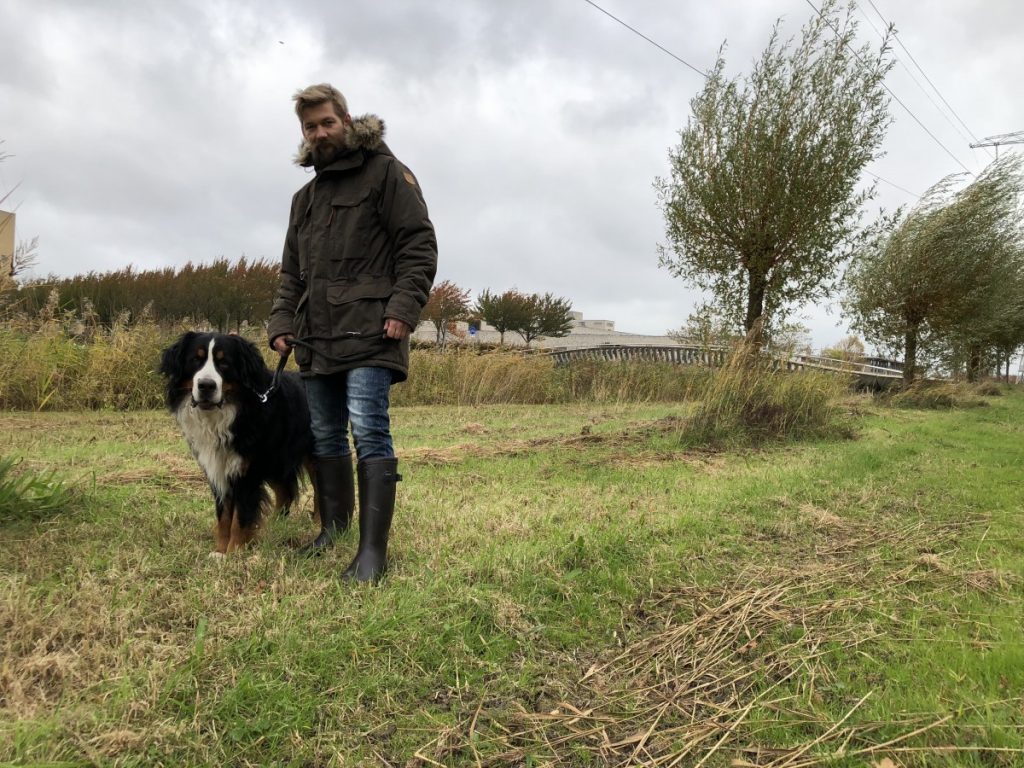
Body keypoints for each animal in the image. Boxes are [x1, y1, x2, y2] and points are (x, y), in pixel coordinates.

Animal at [155, 333, 313, 557]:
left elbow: (240, 517)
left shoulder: (247, 473)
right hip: (275, 461)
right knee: (285, 494)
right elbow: (224, 516)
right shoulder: (219, 469)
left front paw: (234, 553)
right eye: (195, 360)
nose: (206, 386)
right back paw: (274, 528)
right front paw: (220, 552)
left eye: (224, 363)